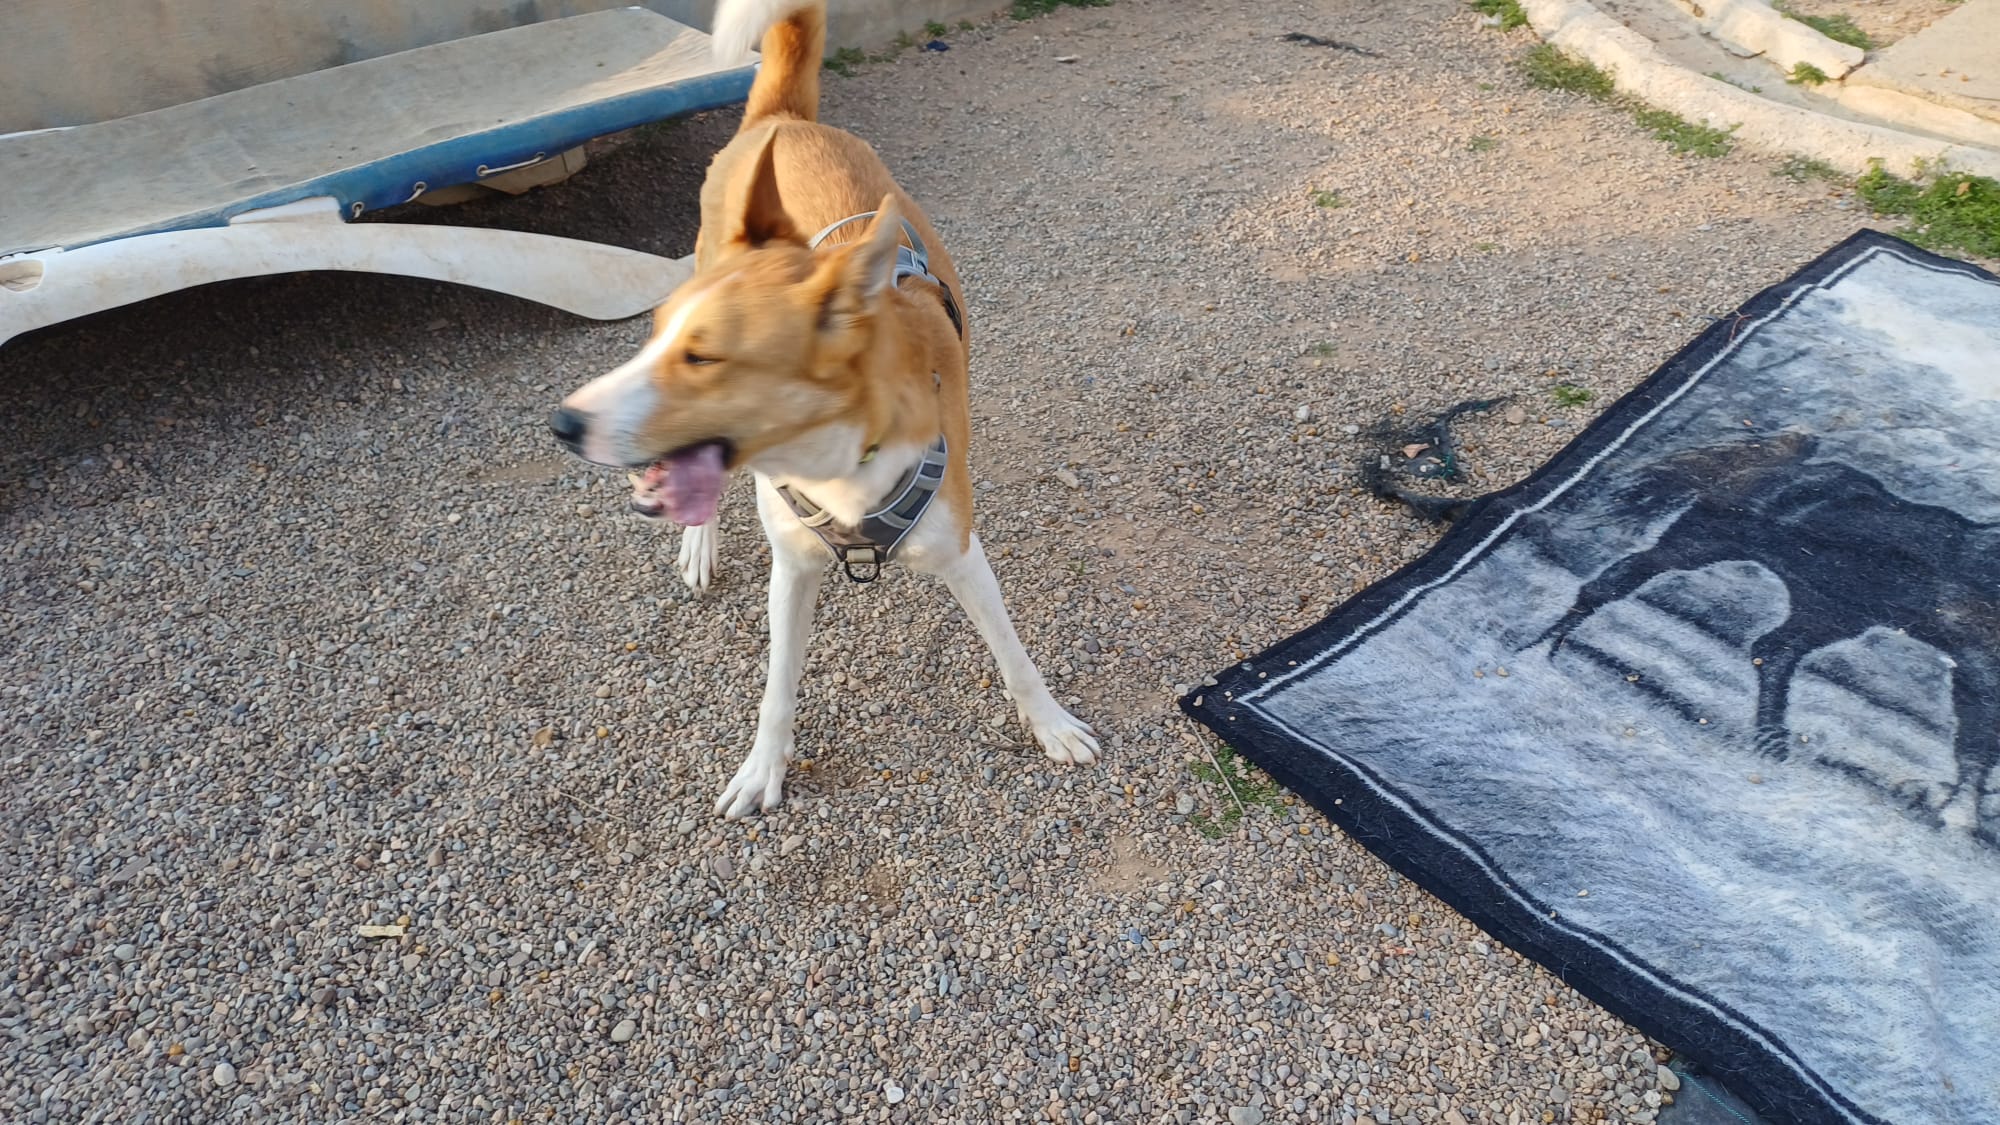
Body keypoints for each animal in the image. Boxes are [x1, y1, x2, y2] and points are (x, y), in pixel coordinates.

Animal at [548, 0, 1099, 818]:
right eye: (655, 335)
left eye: (703, 358)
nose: (563, 423)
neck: (834, 463)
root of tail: (782, 120)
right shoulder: (793, 568)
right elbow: (777, 687)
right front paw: (762, 769)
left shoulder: (963, 554)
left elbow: (1013, 653)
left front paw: (1051, 724)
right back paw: (699, 545)